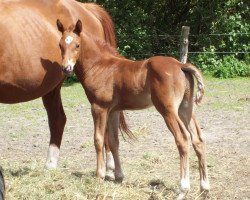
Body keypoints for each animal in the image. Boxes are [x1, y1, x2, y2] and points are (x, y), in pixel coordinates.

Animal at [56, 19, 209, 199]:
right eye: (60, 45)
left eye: (77, 45)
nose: (66, 68)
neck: (99, 66)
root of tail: (180, 65)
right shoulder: (113, 111)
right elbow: (113, 141)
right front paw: (118, 177)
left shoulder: (99, 108)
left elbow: (98, 140)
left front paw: (99, 176)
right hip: (185, 108)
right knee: (198, 139)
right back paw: (204, 188)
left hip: (168, 110)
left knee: (183, 138)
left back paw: (183, 190)